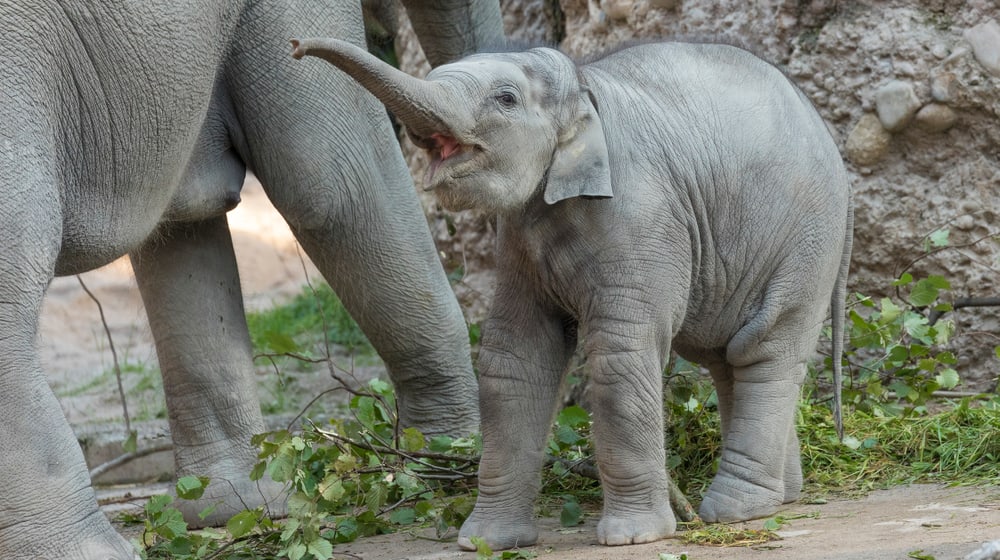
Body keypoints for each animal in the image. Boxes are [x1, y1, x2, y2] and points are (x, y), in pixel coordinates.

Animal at [293, 37, 853, 550]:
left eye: (505, 98)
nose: (296, 49)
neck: (582, 90)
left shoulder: (641, 215)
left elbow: (617, 354)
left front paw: (632, 537)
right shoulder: (518, 239)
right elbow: (515, 358)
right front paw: (486, 542)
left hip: (806, 240)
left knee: (764, 347)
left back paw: (736, 510)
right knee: (726, 356)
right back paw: (781, 499)